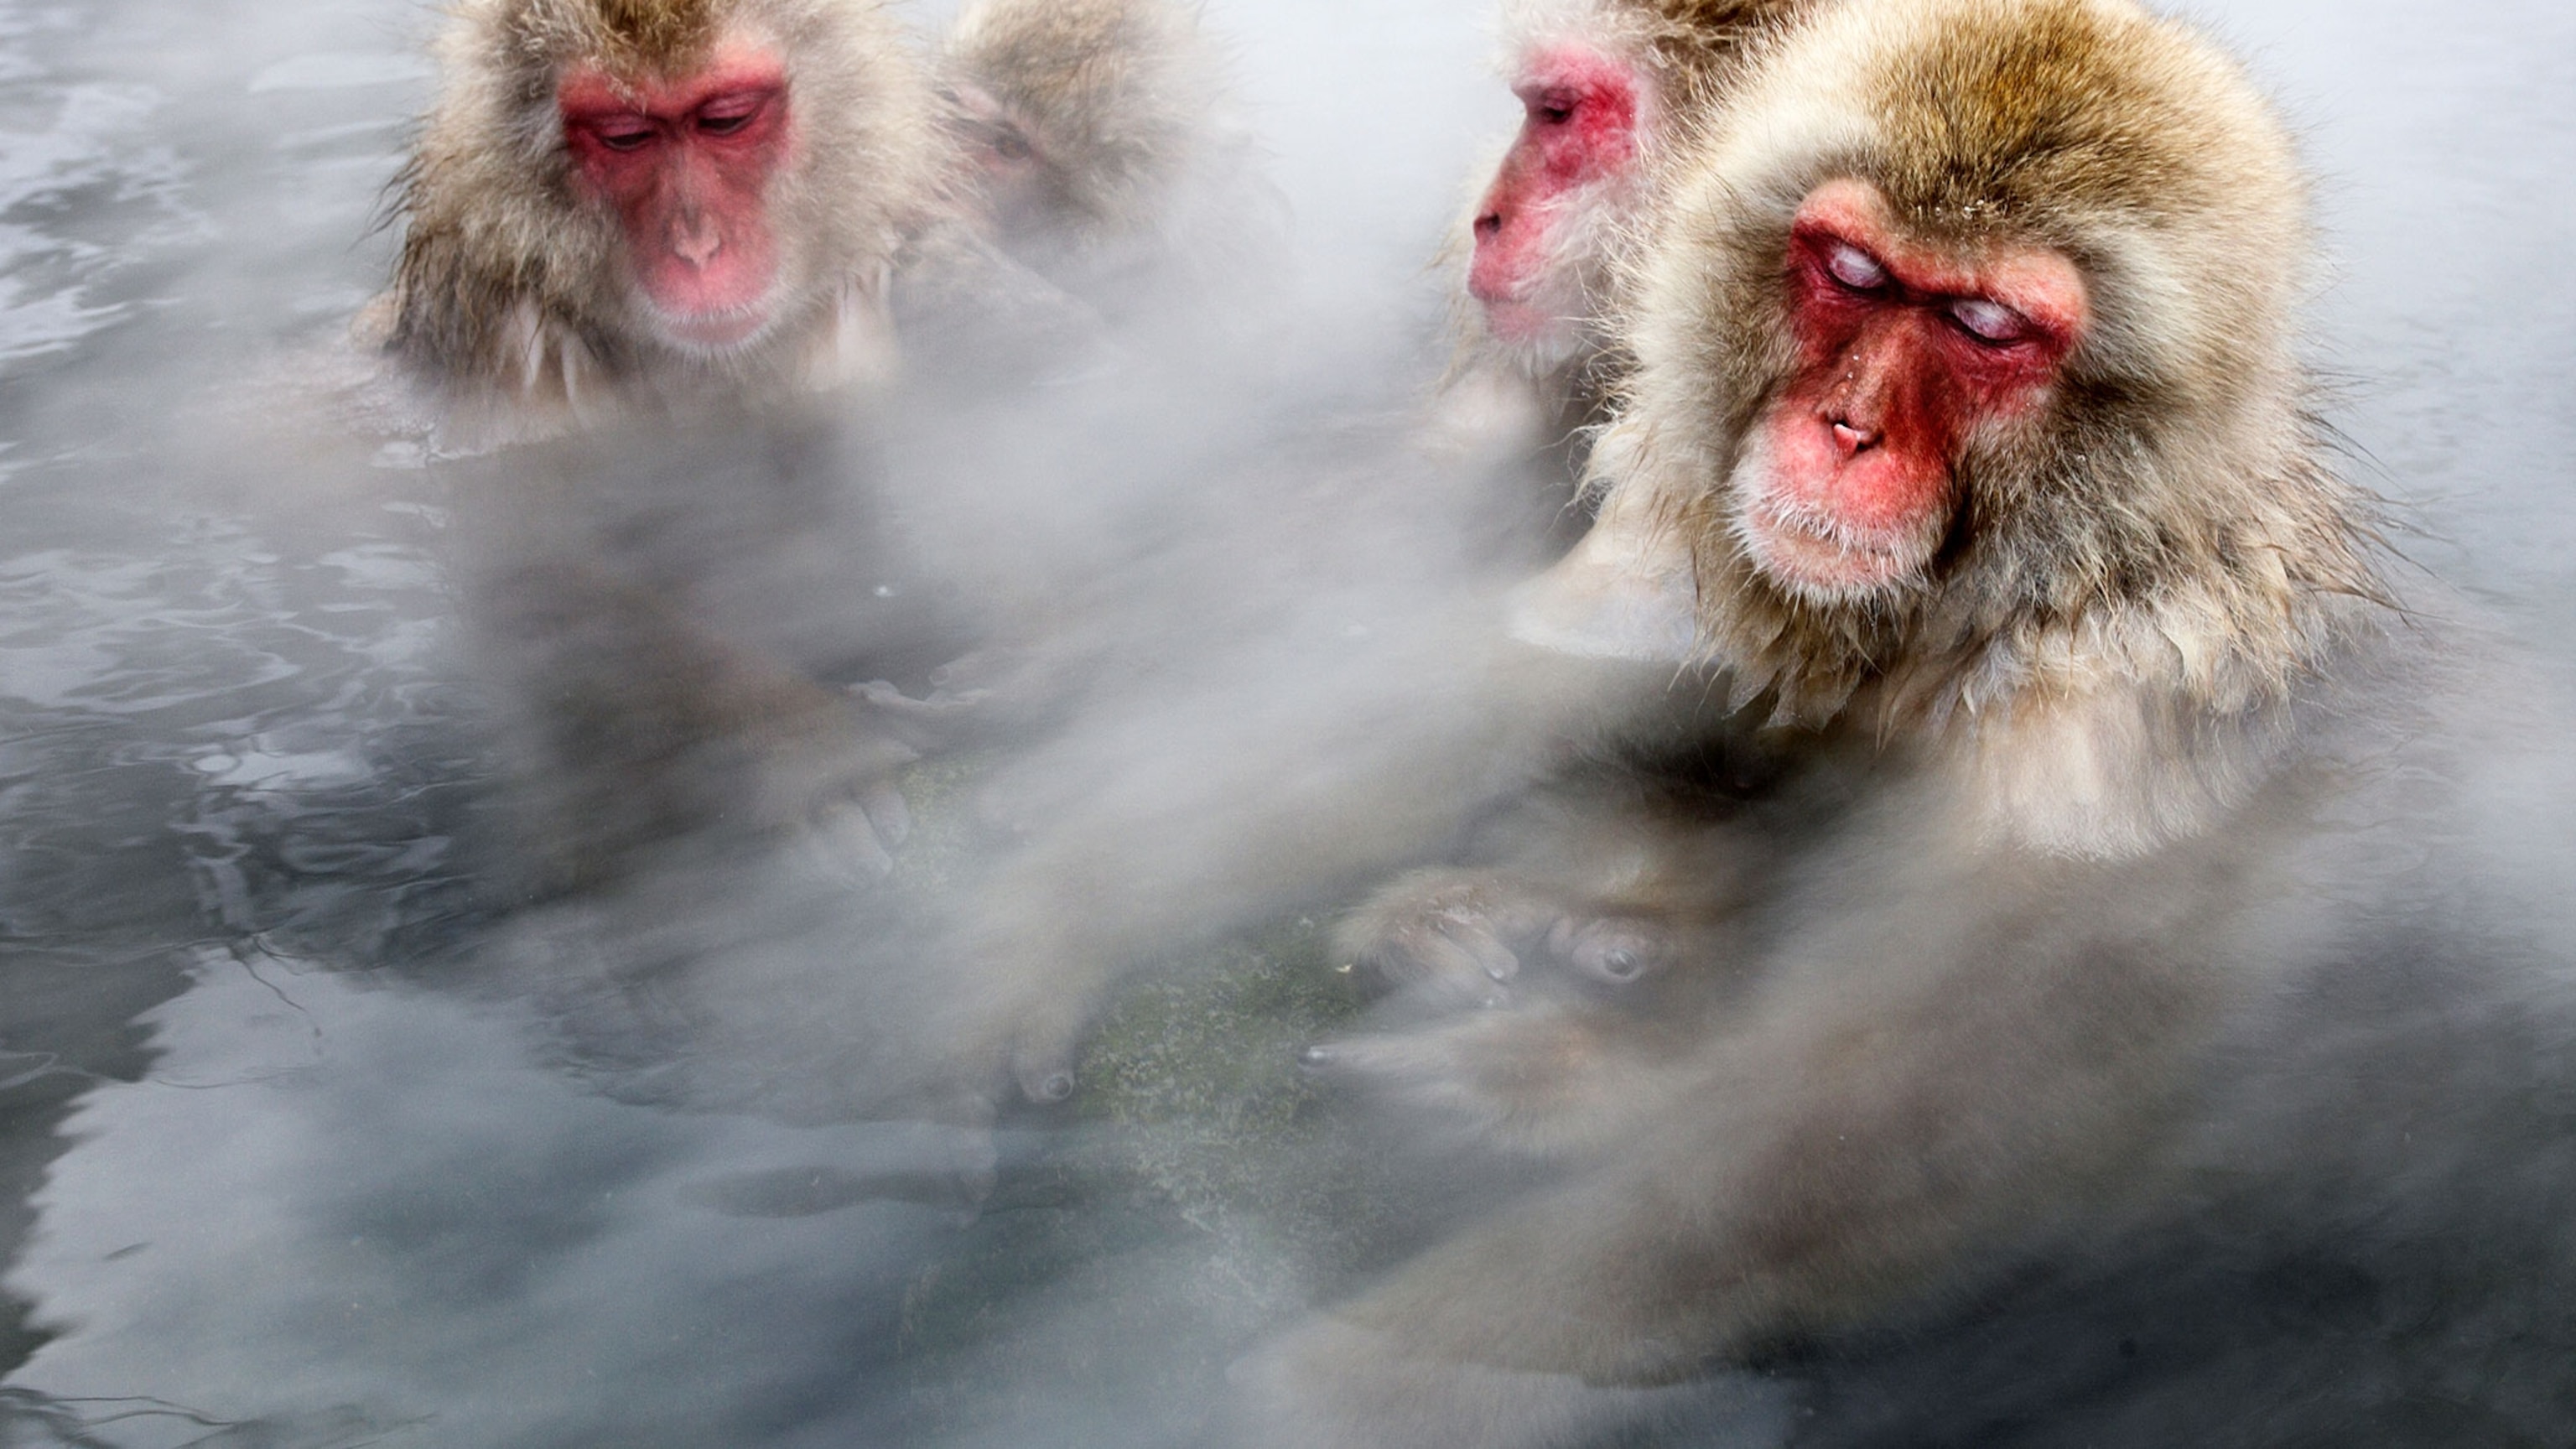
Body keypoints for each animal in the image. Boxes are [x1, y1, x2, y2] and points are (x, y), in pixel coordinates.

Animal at [1202, 0, 2576, 1442]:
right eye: (1854, 273)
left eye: (1981, 321)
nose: (1848, 426)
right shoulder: (1685, 534)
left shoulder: (2100, 727)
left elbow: (1902, 1130)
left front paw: (1367, 1373)